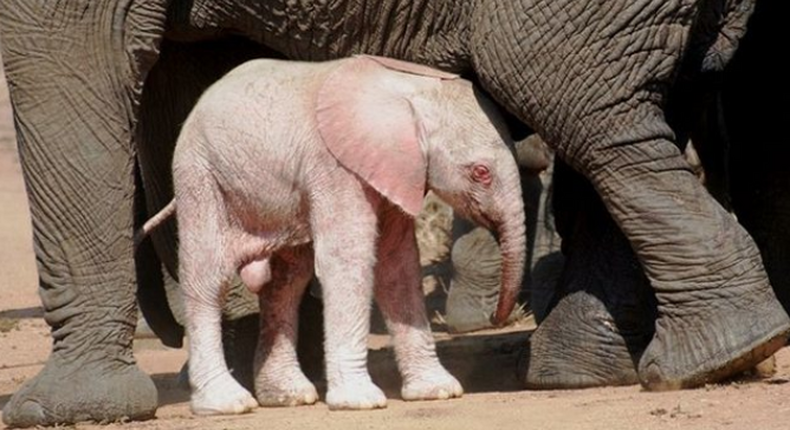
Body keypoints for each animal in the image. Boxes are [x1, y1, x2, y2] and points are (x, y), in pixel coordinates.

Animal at [150, 55, 532, 414]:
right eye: (480, 172)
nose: (496, 319)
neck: (411, 90)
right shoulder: (336, 168)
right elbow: (349, 260)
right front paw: (361, 401)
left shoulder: (395, 170)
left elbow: (397, 263)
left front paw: (438, 391)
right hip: (200, 173)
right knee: (208, 276)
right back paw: (227, 402)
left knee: (287, 280)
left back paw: (289, 396)